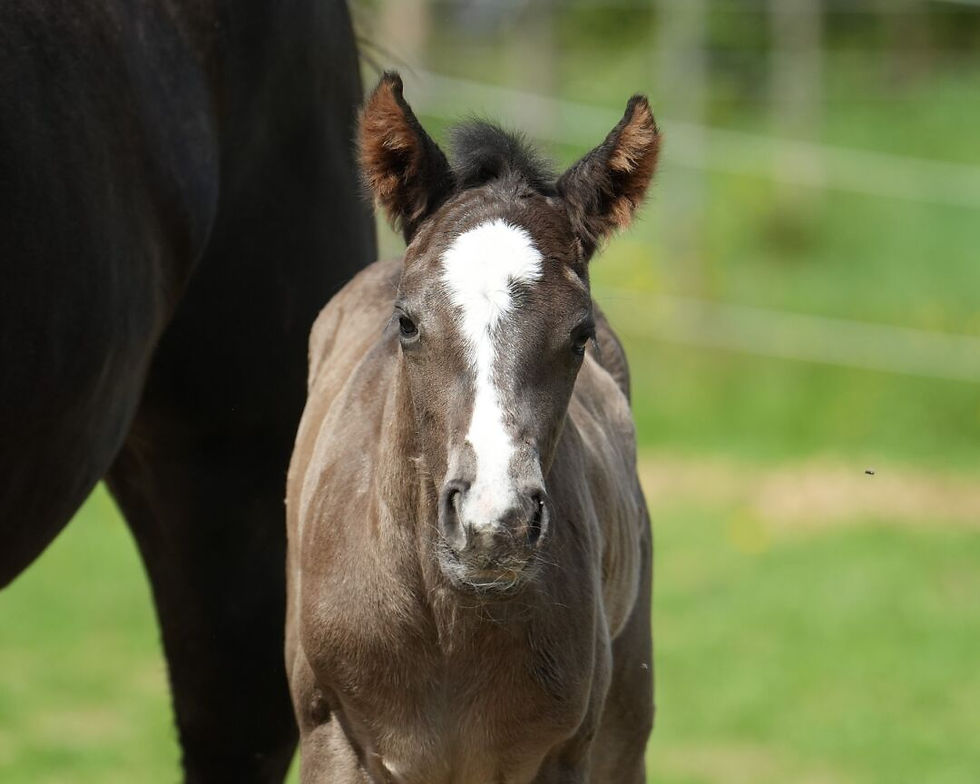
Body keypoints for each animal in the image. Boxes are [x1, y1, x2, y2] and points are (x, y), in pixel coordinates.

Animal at [286, 72, 658, 783]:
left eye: (581, 334)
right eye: (406, 323)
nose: (495, 524)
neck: (450, 627)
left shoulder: (566, 751)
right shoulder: (330, 734)